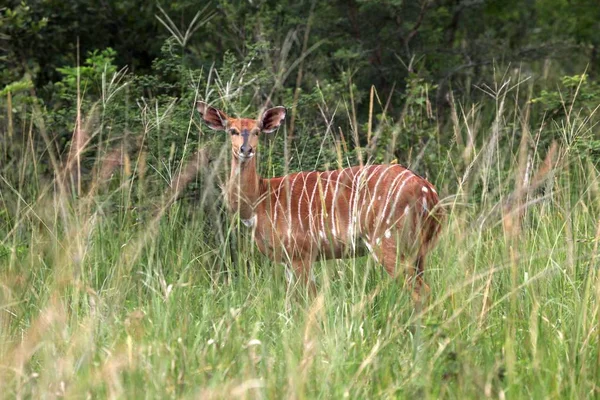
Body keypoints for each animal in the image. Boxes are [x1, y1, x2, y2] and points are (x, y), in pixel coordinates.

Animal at [195, 101, 442, 298]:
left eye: (257, 131)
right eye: (232, 130)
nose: (246, 150)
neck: (260, 200)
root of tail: (429, 193)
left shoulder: (301, 252)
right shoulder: (289, 259)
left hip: (387, 240)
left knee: (420, 291)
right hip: (419, 250)